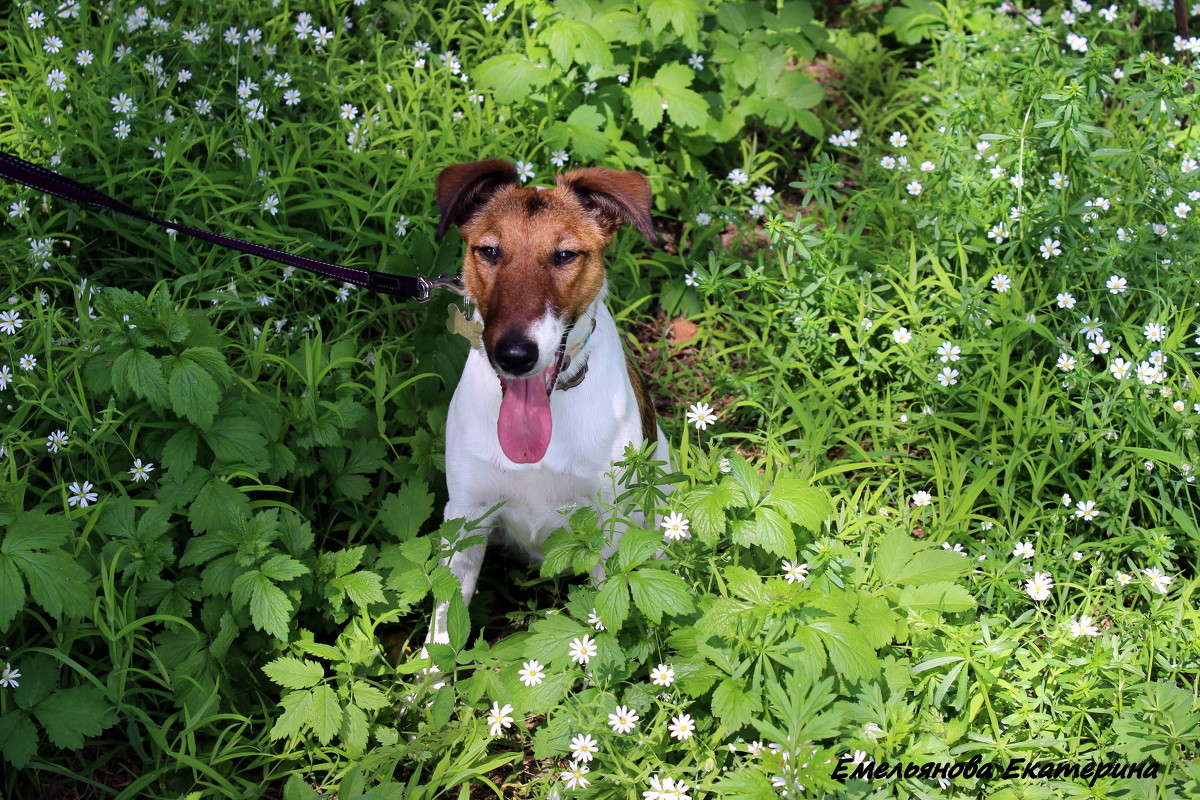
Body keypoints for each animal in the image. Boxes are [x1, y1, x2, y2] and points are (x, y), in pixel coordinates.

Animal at [424, 159, 672, 647]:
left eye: (565, 256)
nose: (515, 355)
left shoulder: (607, 527)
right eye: (489, 251)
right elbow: (443, 629)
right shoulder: (465, 518)